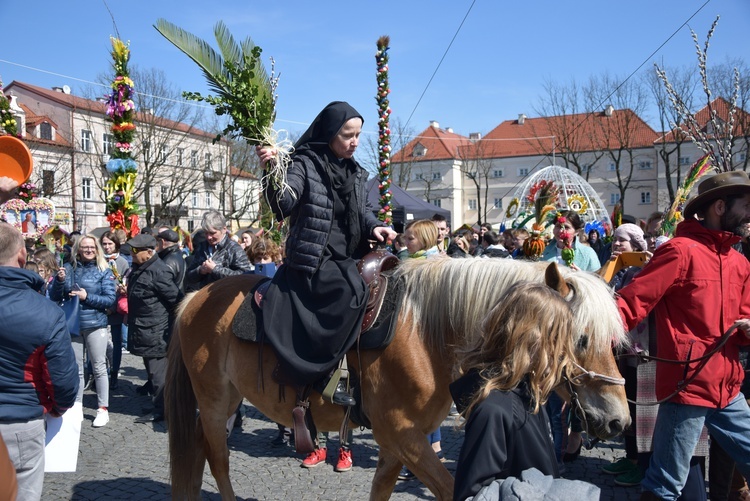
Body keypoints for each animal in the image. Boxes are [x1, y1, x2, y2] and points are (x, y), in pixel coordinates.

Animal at [167, 256, 632, 498]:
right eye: (581, 338)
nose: (619, 420)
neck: (427, 334)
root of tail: (197, 295)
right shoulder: (405, 437)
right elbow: (448, 489)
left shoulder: (398, 445)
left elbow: (382, 490)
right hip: (214, 401)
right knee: (218, 457)